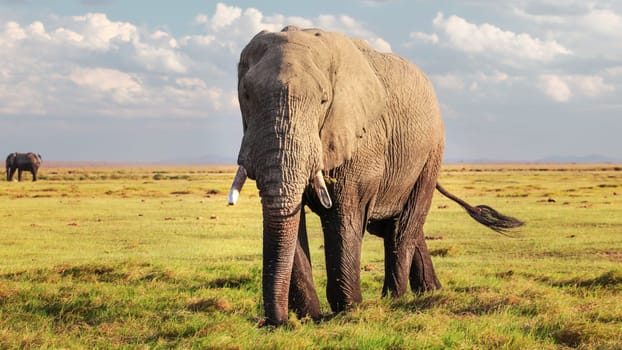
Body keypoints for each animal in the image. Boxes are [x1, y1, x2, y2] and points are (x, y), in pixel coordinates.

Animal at [227, 26, 524, 326]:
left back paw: (395, 299)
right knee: (398, 227)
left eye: (324, 100)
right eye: (246, 96)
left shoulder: (363, 142)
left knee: (402, 228)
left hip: (431, 154)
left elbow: (344, 215)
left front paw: (349, 310)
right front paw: (310, 317)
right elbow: (292, 217)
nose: (275, 322)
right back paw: (431, 292)